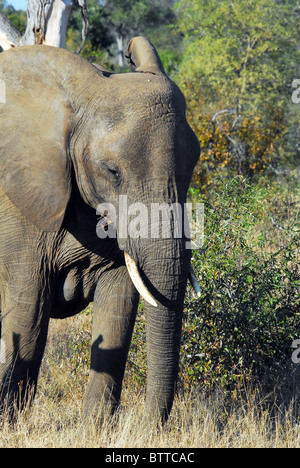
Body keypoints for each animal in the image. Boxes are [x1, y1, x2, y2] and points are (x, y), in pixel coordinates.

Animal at [0, 38, 200, 422]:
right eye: (111, 171)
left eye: (193, 164)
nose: (149, 426)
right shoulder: (18, 209)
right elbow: (29, 310)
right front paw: (10, 422)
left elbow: (118, 311)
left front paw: (94, 429)